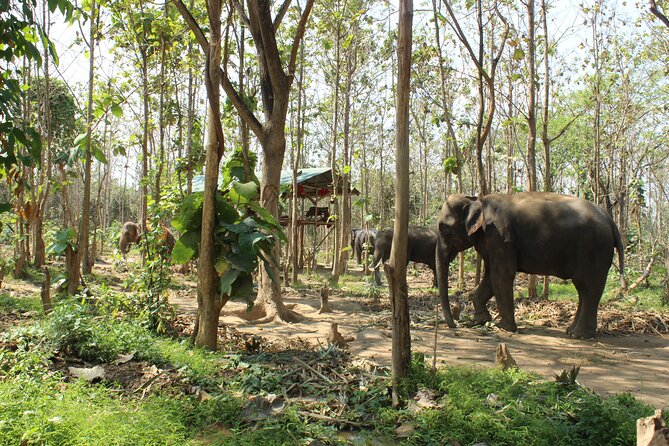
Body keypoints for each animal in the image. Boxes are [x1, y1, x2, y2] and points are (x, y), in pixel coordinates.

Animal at [435, 192, 626, 339]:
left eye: (444, 228)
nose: (455, 326)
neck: (478, 200)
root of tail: (609, 219)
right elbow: (490, 276)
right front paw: (480, 321)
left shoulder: (500, 236)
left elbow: (501, 275)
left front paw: (503, 327)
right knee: (583, 290)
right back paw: (570, 331)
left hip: (593, 248)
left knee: (588, 288)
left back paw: (579, 335)